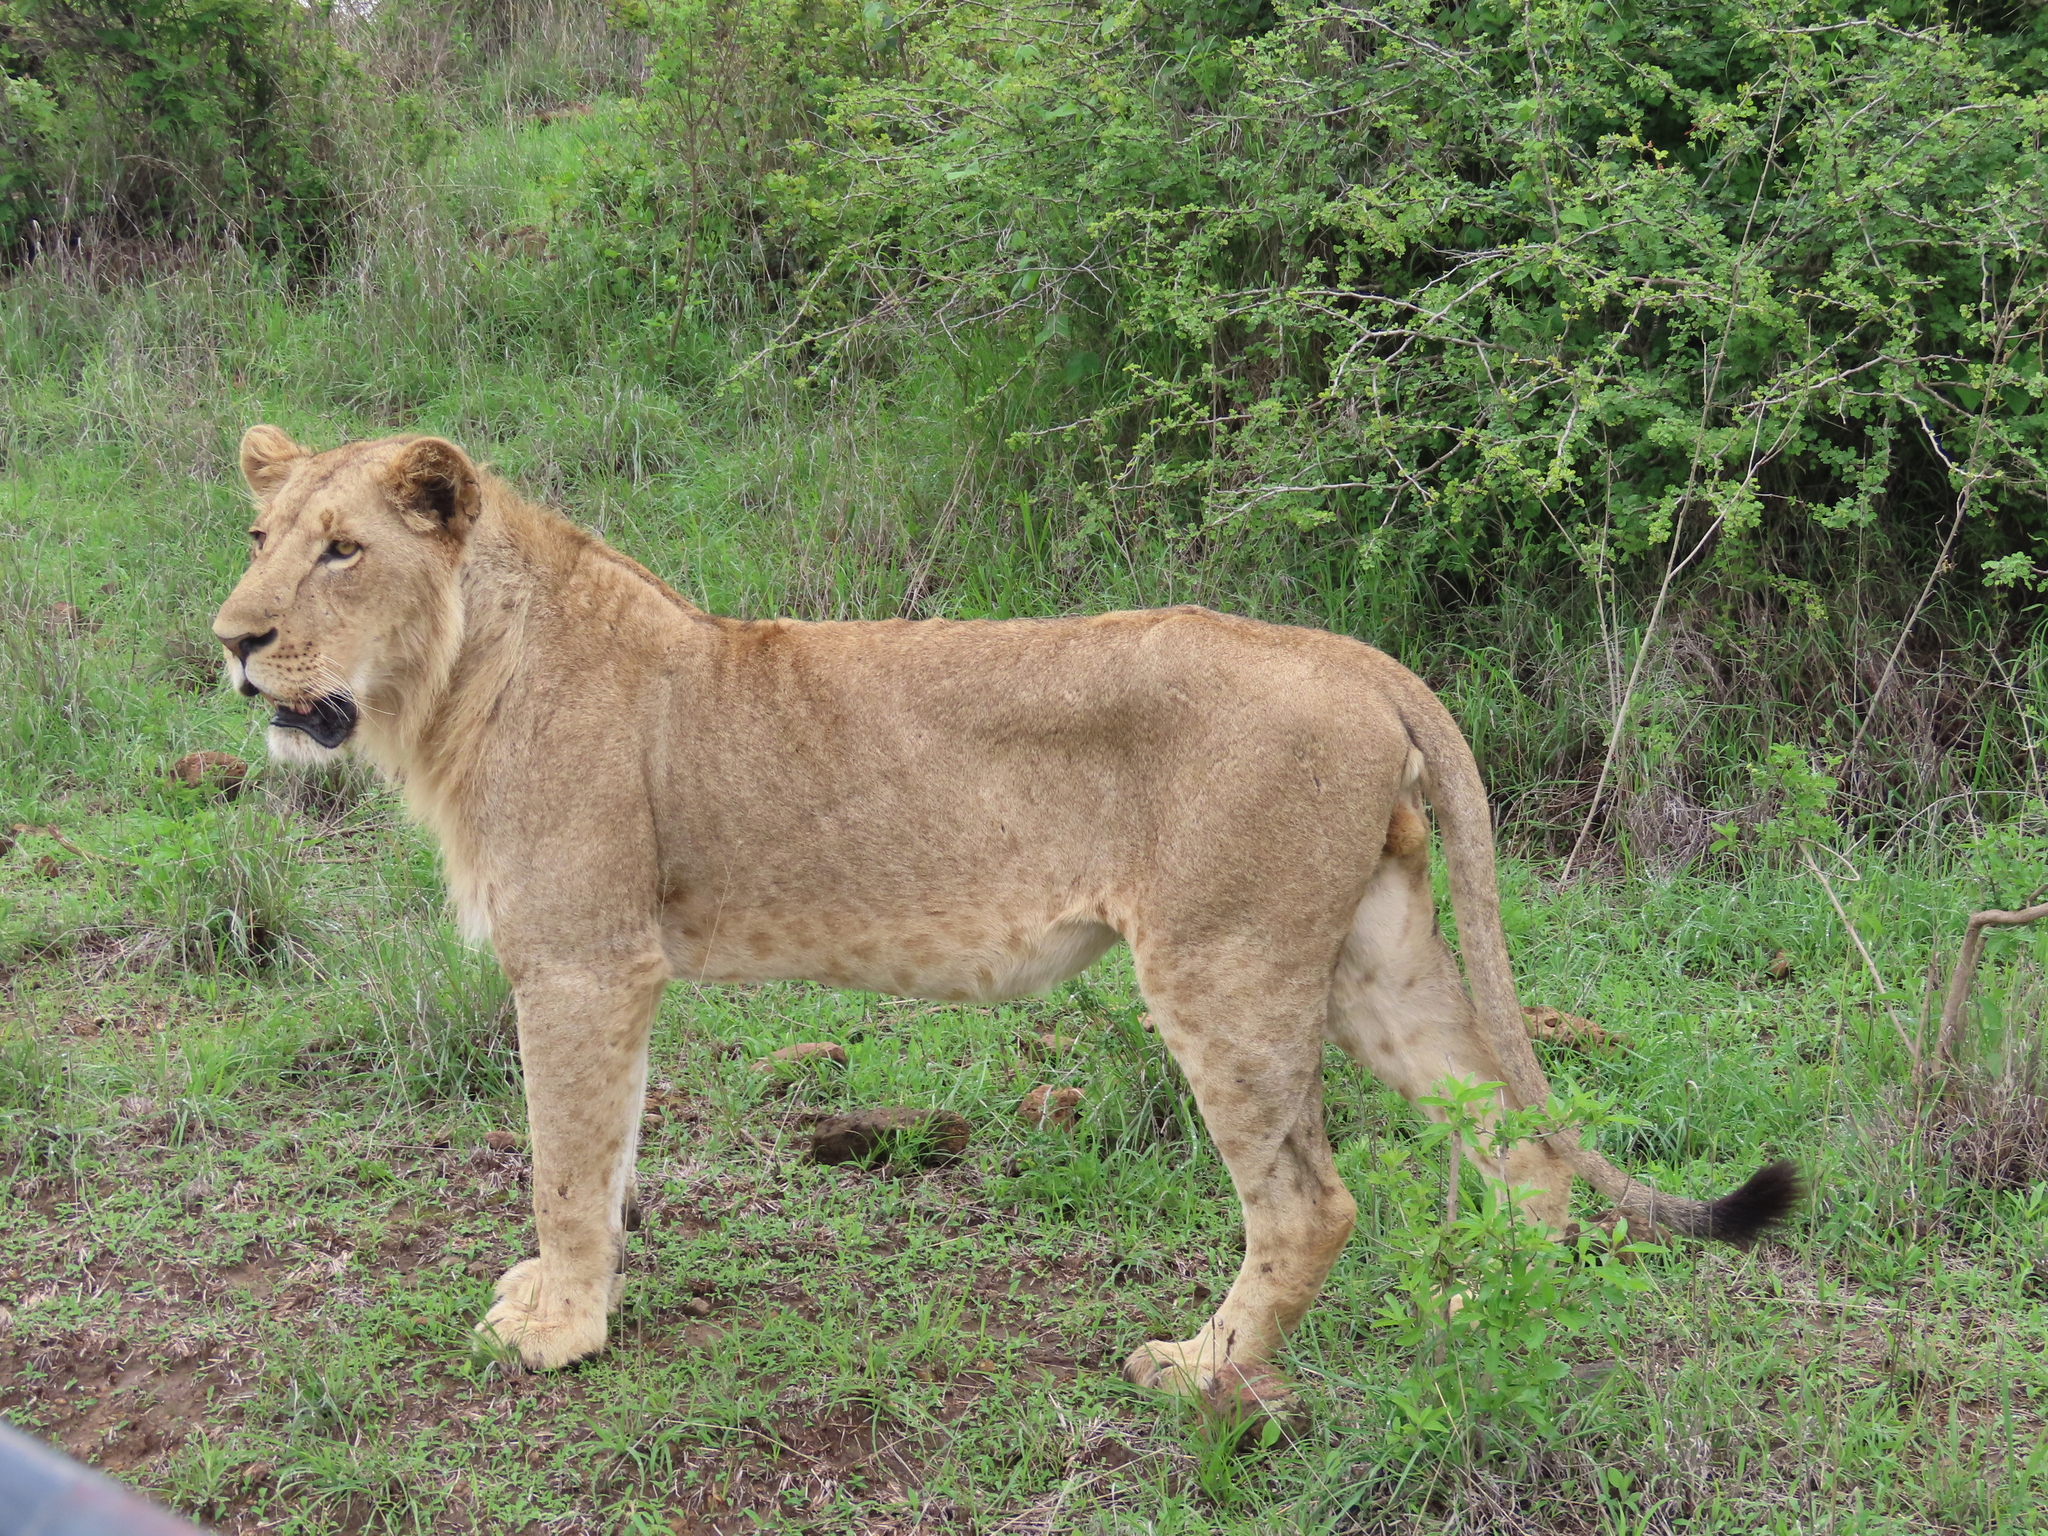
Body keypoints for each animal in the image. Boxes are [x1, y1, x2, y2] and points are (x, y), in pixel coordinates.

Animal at [216, 428, 1802, 1425]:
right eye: (259, 537)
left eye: (342, 551)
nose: (232, 641)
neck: (452, 681)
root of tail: (1352, 654)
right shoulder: (615, 973)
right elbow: (604, 1157)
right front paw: (563, 1293)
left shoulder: (582, 959)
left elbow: (559, 1157)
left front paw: (559, 1331)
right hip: (1375, 956)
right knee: (1515, 1135)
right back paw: (1486, 1321)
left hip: (1221, 964)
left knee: (1308, 1202)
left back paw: (1200, 1369)